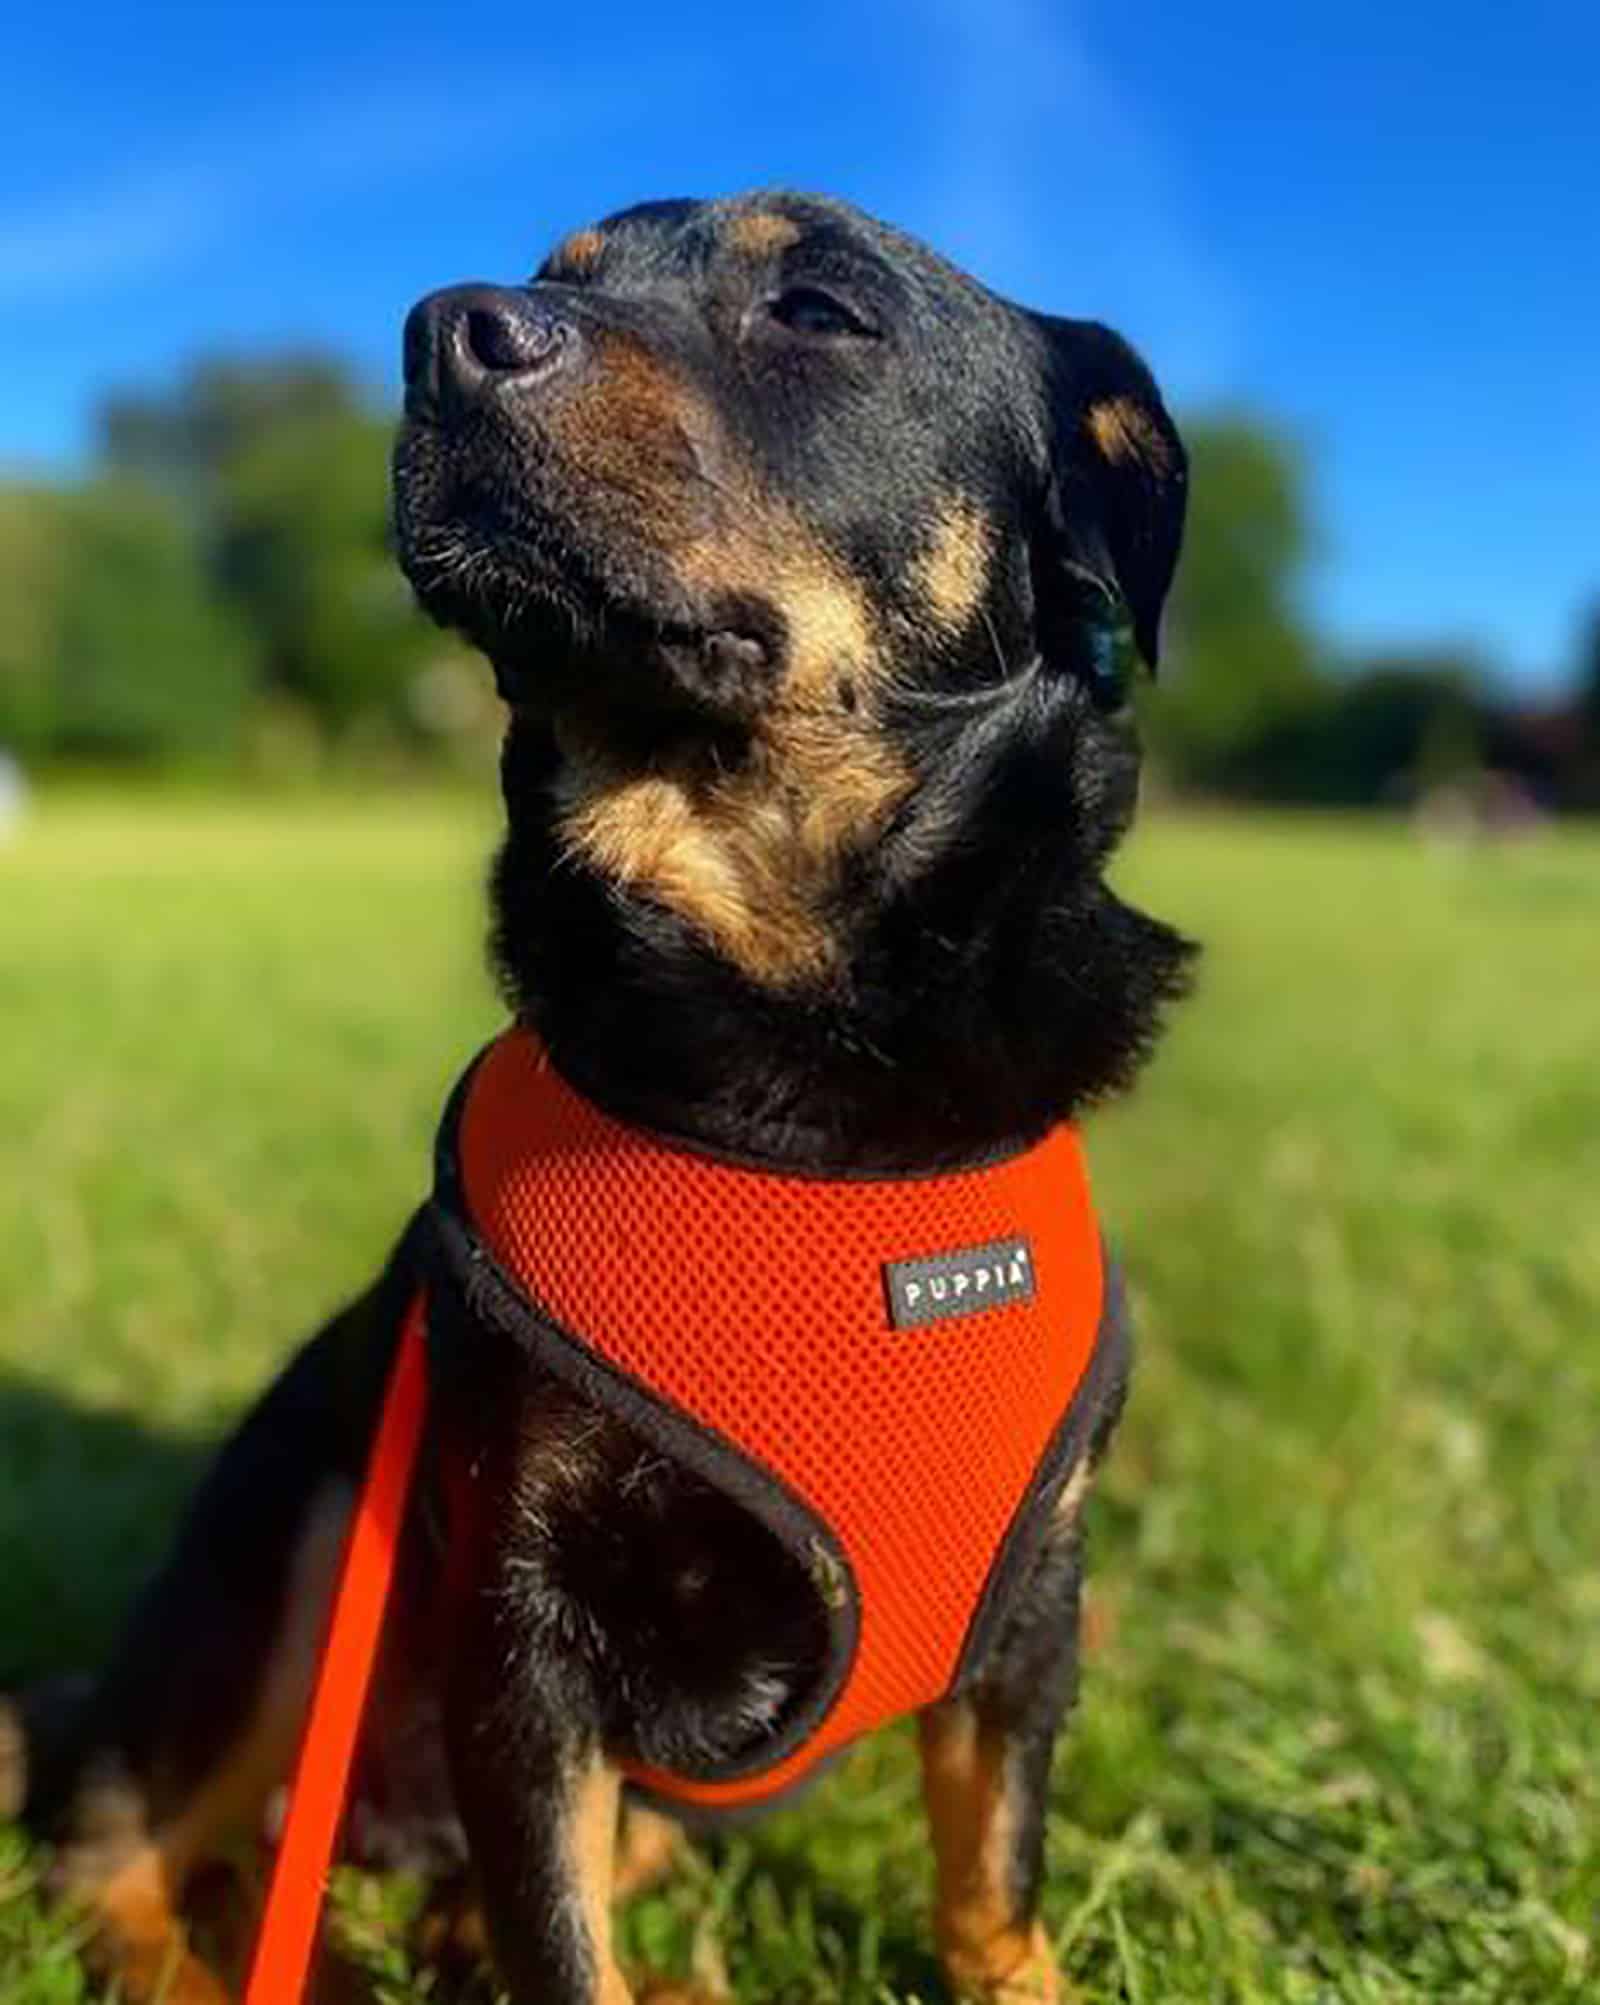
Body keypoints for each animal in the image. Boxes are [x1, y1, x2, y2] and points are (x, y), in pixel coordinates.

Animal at [0, 191, 1194, 2005]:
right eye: (557, 273)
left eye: (823, 308)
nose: (441, 331)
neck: (798, 1104)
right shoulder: (523, 1621)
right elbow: (560, 1937)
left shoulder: (1032, 1606)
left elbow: (992, 1879)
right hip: (297, 1539)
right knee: (115, 1841)